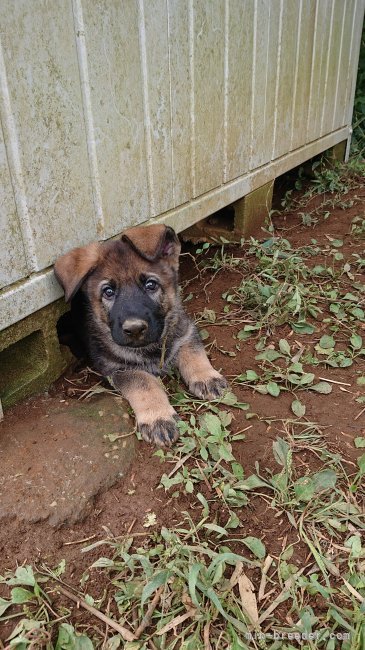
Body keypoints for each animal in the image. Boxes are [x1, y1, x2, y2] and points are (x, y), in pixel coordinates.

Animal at [54, 224, 226, 446]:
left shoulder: (185, 331)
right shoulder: (118, 369)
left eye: (151, 285)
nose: (134, 329)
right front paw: (158, 418)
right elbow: (144, 382)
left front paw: (206, 377)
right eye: (108, 291)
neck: (151, 347)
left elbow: (193, 353)